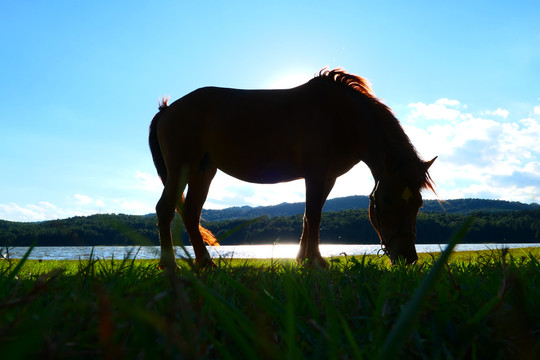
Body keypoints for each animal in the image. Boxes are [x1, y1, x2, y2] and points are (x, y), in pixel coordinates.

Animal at [150, 68, 436, 270]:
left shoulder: (328, 178)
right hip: (181, 170)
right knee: (165, 209)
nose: (408, 258)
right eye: (386, 200)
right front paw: (315, 262)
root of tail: (167, 109)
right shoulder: (315, 174)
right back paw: (170, 264)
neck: (340, 116)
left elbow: (309, 216)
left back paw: (205, 262)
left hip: (203, 171)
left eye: (419, 203)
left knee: (191, 214)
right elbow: (314, 215)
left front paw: (305, 259)